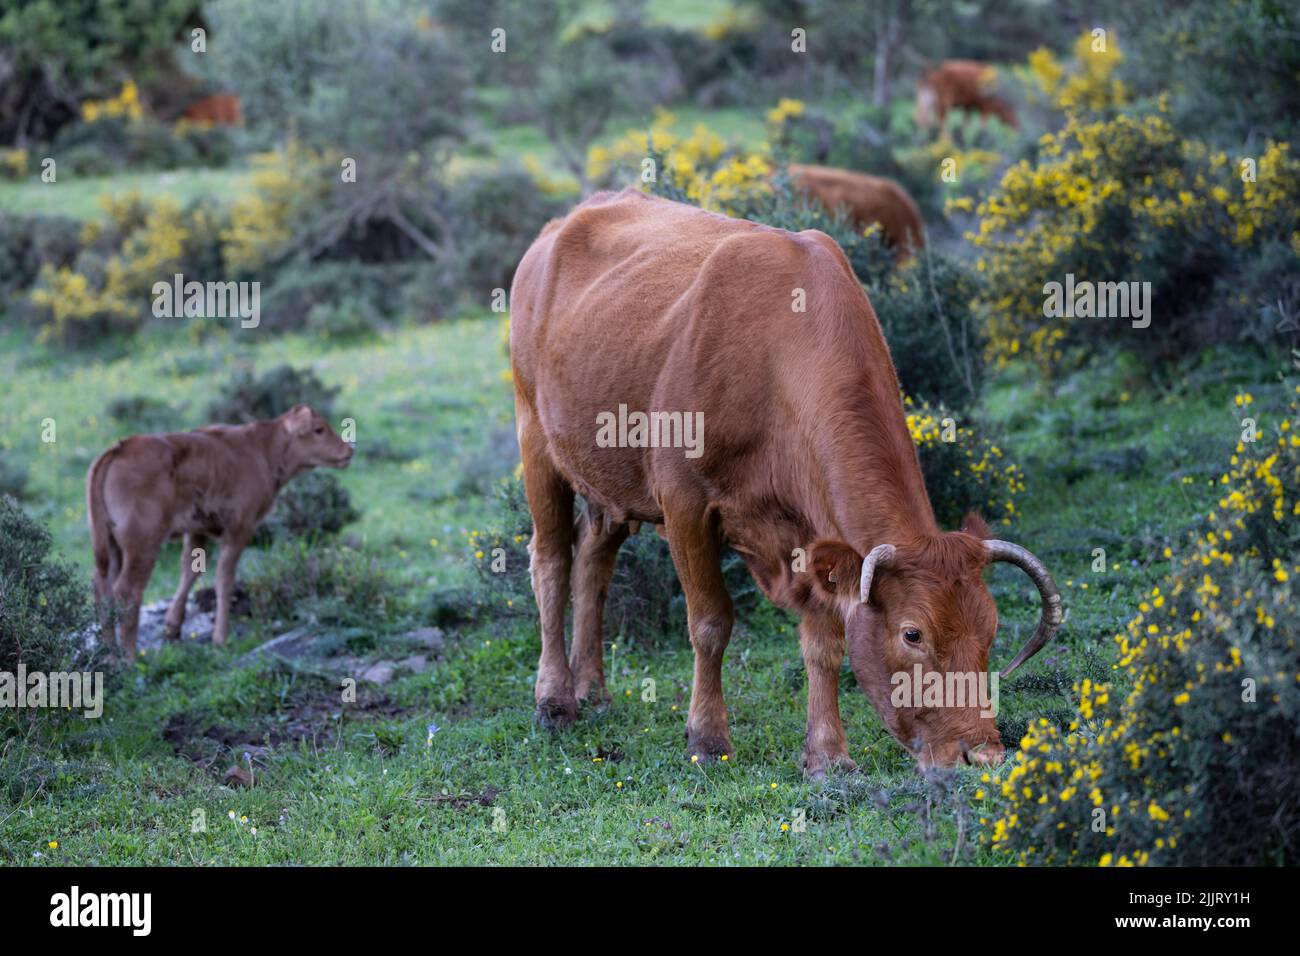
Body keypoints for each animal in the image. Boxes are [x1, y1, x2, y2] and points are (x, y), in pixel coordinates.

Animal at [86, 406, 353, 660]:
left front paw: (173, 627)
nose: (348, 450)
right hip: (143, 545)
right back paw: (128, 659)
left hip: (111, 545)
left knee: (102, 588)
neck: (263, 449)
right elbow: (224, 580)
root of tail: (118, 449)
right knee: (127, 591)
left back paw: (109, 656)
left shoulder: (196, 531)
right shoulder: (239, 528)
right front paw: (221, 638)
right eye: (319, 429)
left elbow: (190, 570)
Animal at [509, 188, 1062, 774]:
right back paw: (555, 701)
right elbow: (710, 622)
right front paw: (708, 739)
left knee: (593, 563)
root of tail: (567, 219)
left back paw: (592, 690)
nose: (984, 754)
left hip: (608, 479)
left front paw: (828, 756)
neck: (776, 360)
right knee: (551, 560)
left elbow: (824, 640)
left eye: (991, 629)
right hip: (535, 440)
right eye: (913, 633)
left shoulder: (812, 535)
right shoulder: (684, 503)